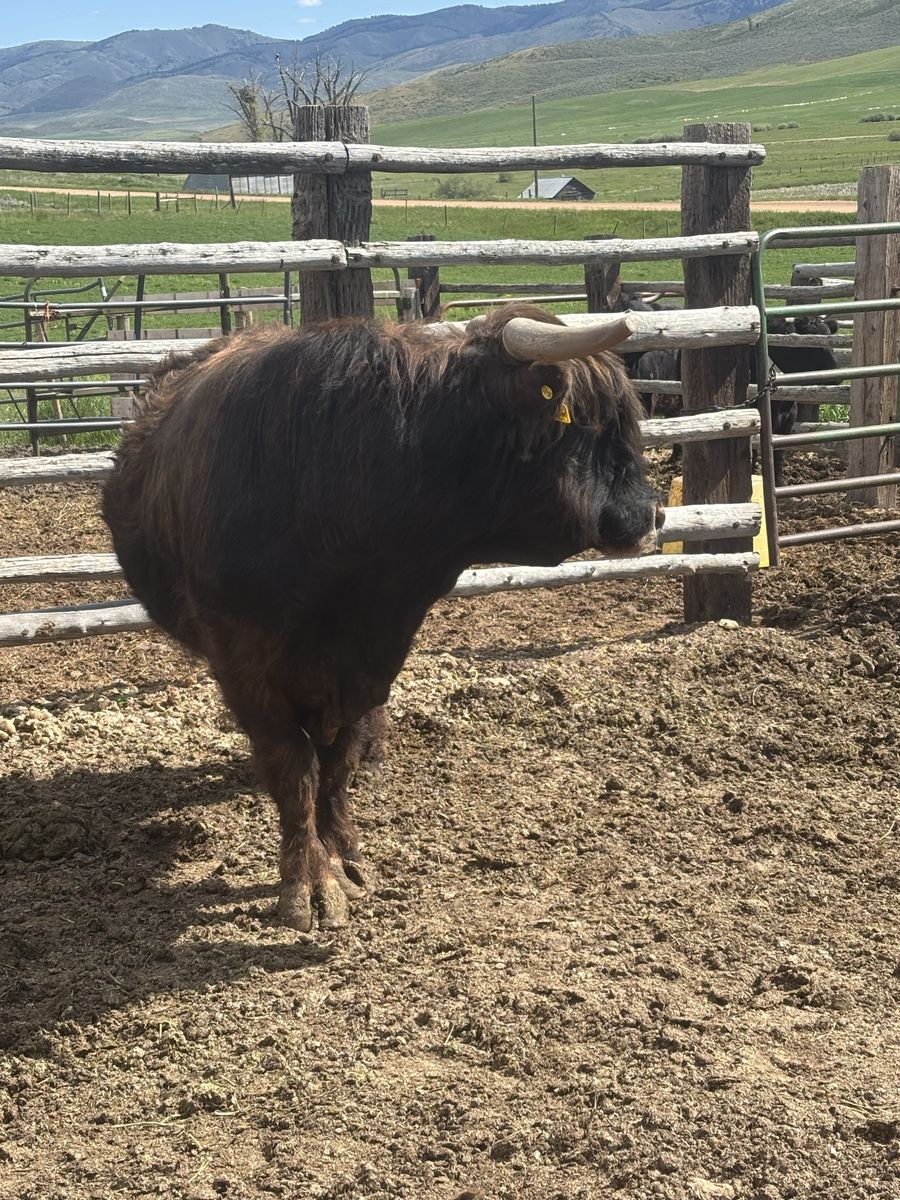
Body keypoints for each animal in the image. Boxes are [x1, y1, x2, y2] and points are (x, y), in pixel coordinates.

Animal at [102, 304, 662, 933]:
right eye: (590, 424)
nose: (651, 513)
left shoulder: (375, 655)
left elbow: (337, 762)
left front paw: (342, 854)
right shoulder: (244, 662)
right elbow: (292, 768)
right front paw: (307, 882)